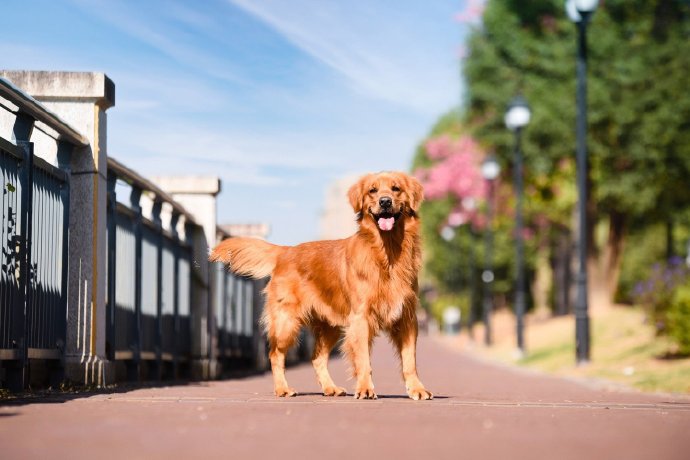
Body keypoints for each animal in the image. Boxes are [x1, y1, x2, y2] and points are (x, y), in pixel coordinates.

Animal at [210, 171, 430, 400]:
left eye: (396, 189)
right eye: (373, 190)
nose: (385, 201)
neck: (387, 254)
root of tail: (285, 250)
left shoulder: (407, 318)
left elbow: (410, 361)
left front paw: (417, 389)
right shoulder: (361, 317)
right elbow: (363, 360)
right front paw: (365, 388)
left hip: (329, 326)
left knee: (317, 357)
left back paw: (330, 388)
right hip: (286, 322)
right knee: (275, 354)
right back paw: (282, 388)